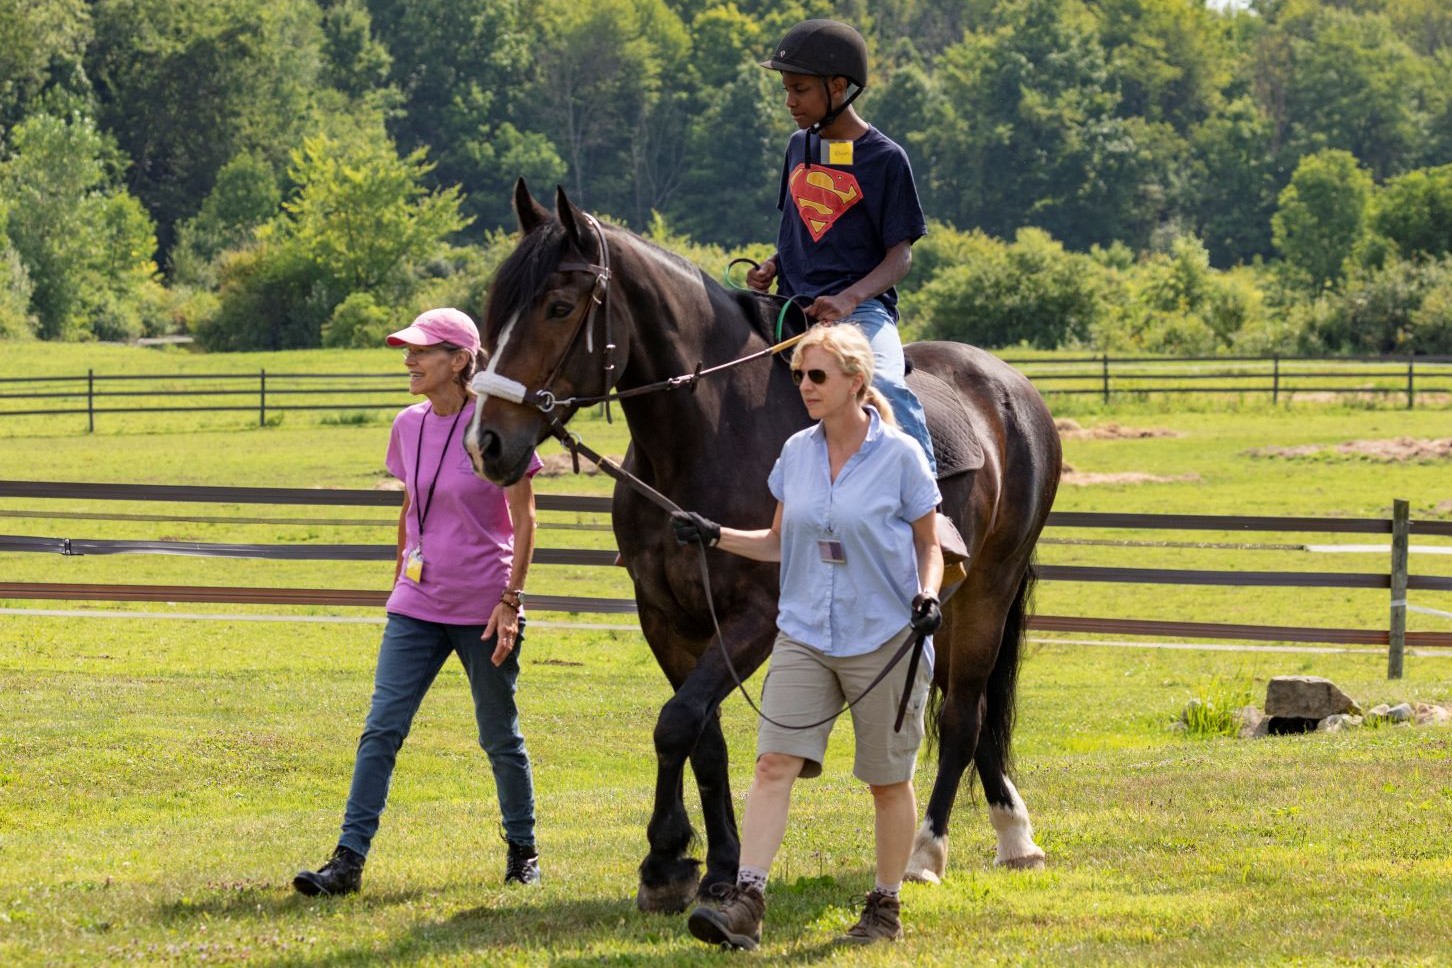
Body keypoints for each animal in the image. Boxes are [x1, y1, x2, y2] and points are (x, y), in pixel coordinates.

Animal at [470, 181, 1062, 917]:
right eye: (493, 308)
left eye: (557, 306)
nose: (487, 443)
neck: (711, 435)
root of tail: (1010, 388)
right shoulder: (667, 618)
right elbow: (703, 738)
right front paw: (713, 861)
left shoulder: (758, 616)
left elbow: (677, 722)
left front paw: (666, 859)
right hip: (939, 607)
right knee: (973, 715)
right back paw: (1015, 834)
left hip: (988, 590)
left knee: (960, 719)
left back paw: (927, 850)